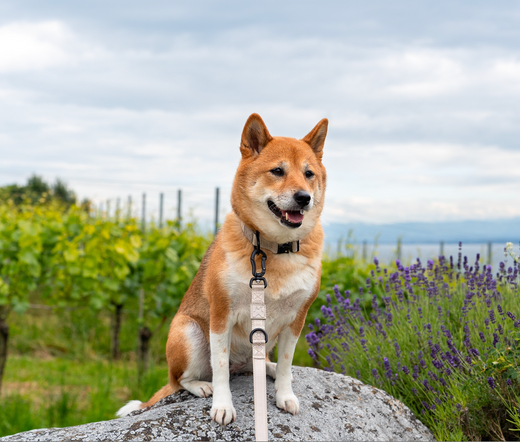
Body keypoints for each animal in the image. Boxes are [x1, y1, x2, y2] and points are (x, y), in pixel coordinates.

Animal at [118, 113, 330, 424]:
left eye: (309, 174)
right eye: (278, 171)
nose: (304, 197)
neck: (273, 249)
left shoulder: (297, 320)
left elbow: (286, 365)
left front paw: (284, 395)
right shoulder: (221, 314)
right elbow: (218, 368)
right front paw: (222, 405)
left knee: (257, 363)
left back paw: (266, 367)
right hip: (188, 333)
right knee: (182, 380)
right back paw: (200, 385)